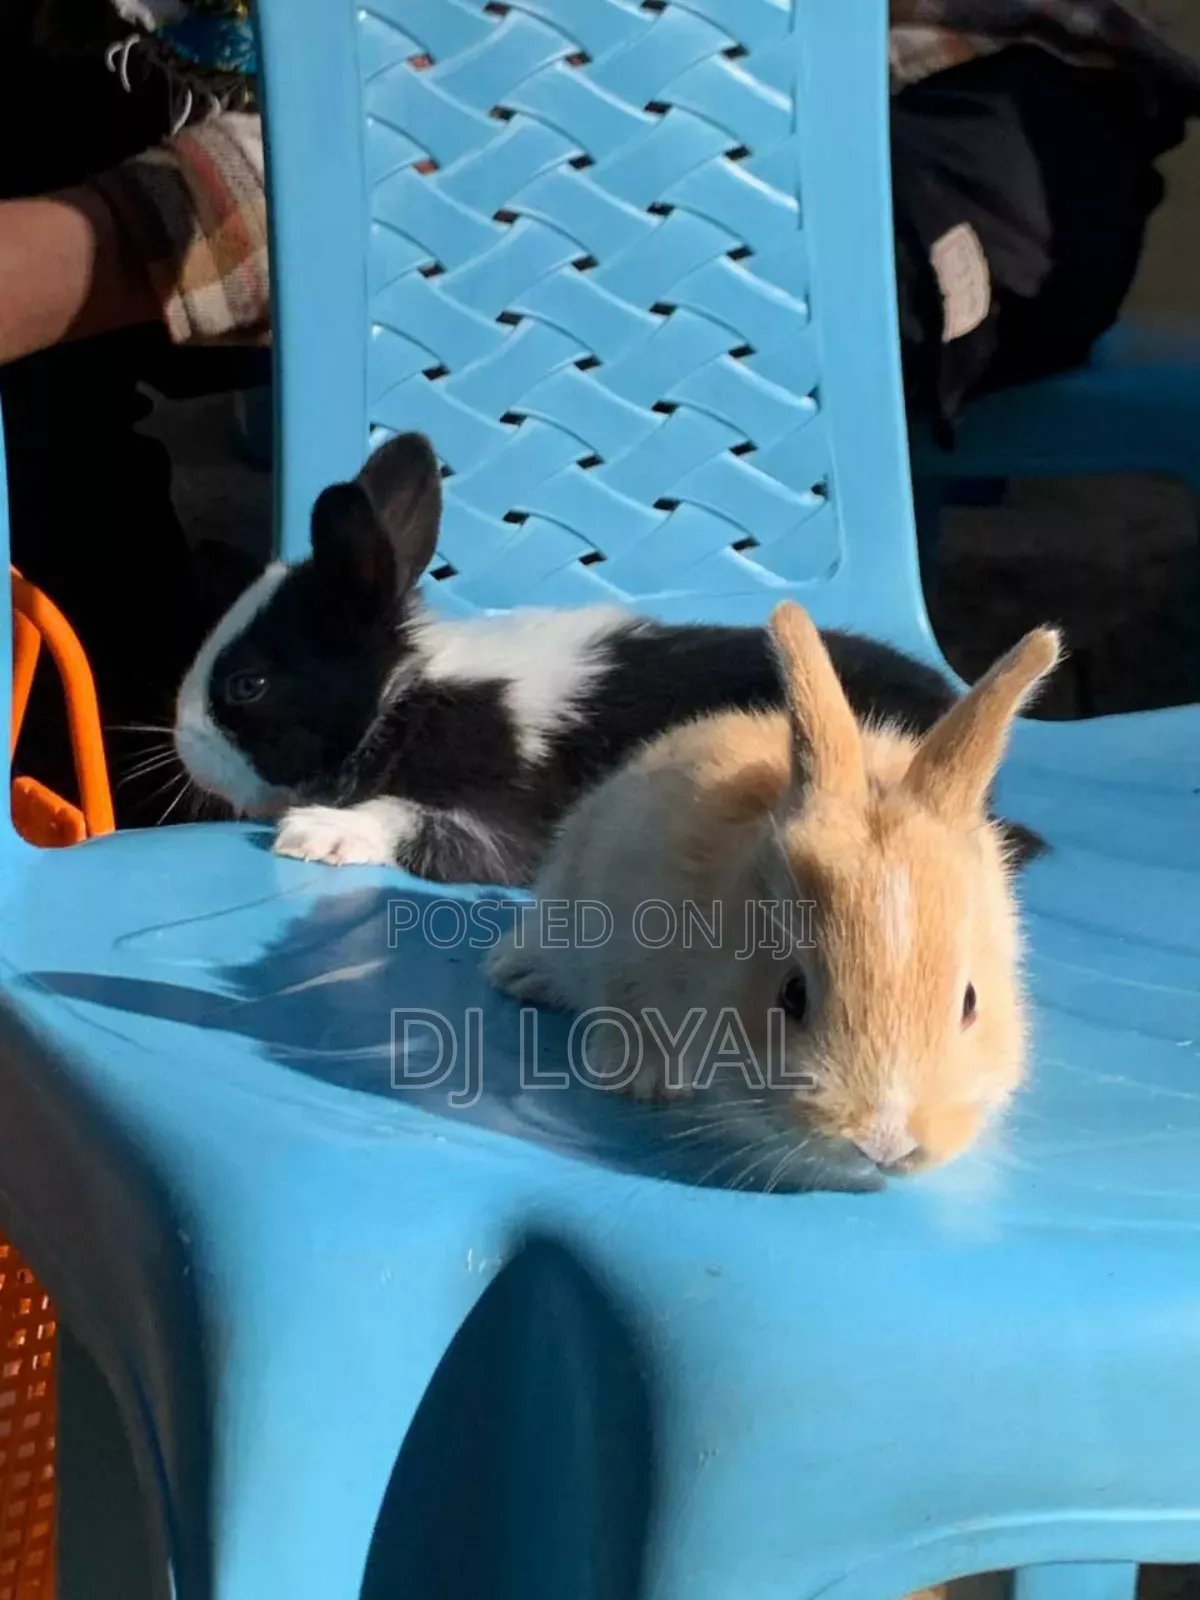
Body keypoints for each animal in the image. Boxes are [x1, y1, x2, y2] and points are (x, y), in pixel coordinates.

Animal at [174, 430, 1047, 888]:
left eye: (247, 684)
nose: (182, 747)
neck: (408, 693)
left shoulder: (513, 814)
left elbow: (414, 819)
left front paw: (320, 832)